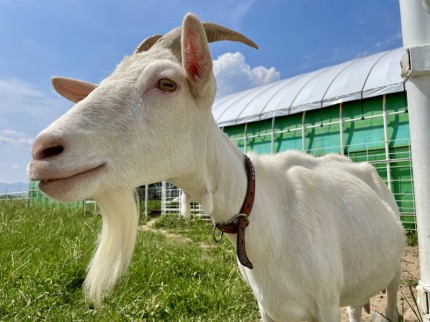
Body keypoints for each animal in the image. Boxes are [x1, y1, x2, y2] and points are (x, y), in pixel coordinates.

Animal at [29, 13, 406, 322]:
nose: (41, 152)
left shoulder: (325, 305)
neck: (266, 216)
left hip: (393, 273)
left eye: (167, 83)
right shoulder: (269, 308)